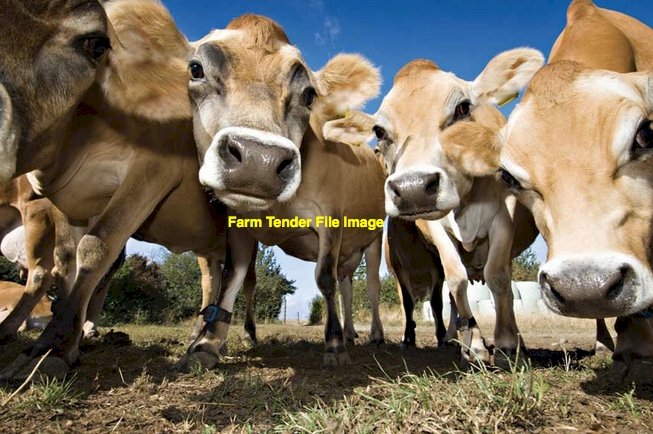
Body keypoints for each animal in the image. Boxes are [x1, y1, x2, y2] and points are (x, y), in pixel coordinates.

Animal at [188, 15, 386, 367]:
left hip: (374, 238)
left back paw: (373, 334)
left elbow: (324, 278)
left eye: (308, 95)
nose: (258, 160)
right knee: (347, 285)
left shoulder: (331, 220)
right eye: (196, 69)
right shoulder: (239, 226)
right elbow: (232, 277)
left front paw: (334, 344)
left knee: (371, 285)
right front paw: (208, 344)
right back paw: (351, 331)